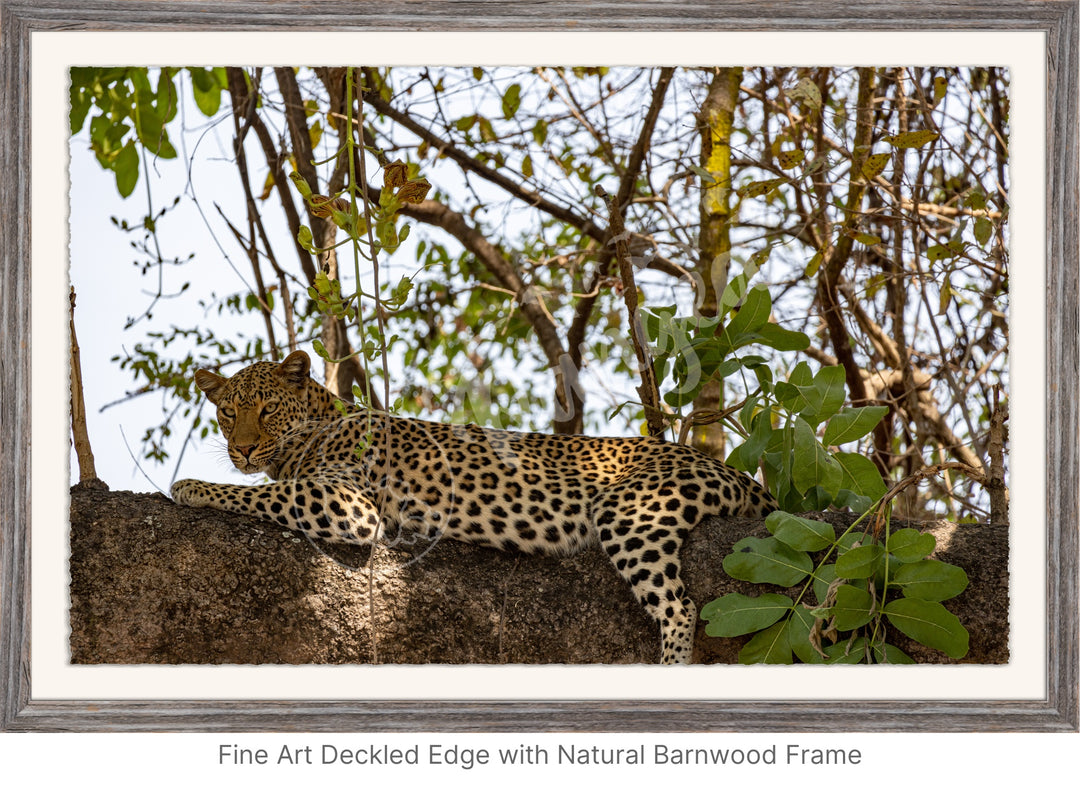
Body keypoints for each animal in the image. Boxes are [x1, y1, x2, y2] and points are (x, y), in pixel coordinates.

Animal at [170, 349, 777, 665]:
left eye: (267, 410)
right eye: (227, 412)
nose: (243, 448)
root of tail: (734, 473)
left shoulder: (347, 501)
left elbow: (261, 494)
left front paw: (190, 486)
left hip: (633, 512)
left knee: (680, 607)